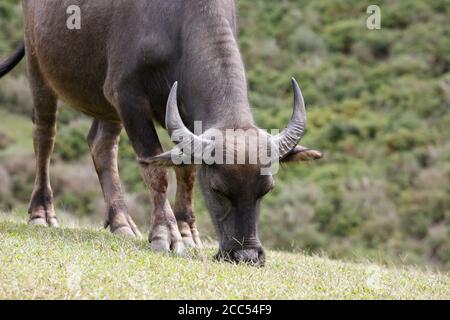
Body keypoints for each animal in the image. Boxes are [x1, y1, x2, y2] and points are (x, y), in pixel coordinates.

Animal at [0, 0, 324, 264]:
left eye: (266, 189)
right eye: (217, 189)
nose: (246, 256)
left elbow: (187, 169)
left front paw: (187, 232)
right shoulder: (128, 95)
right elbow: (154, 167)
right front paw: (165, 234)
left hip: (107, 105)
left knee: (101, 145)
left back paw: (121, 222)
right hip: (38, 67)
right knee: (45, 135)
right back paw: (42, 213)